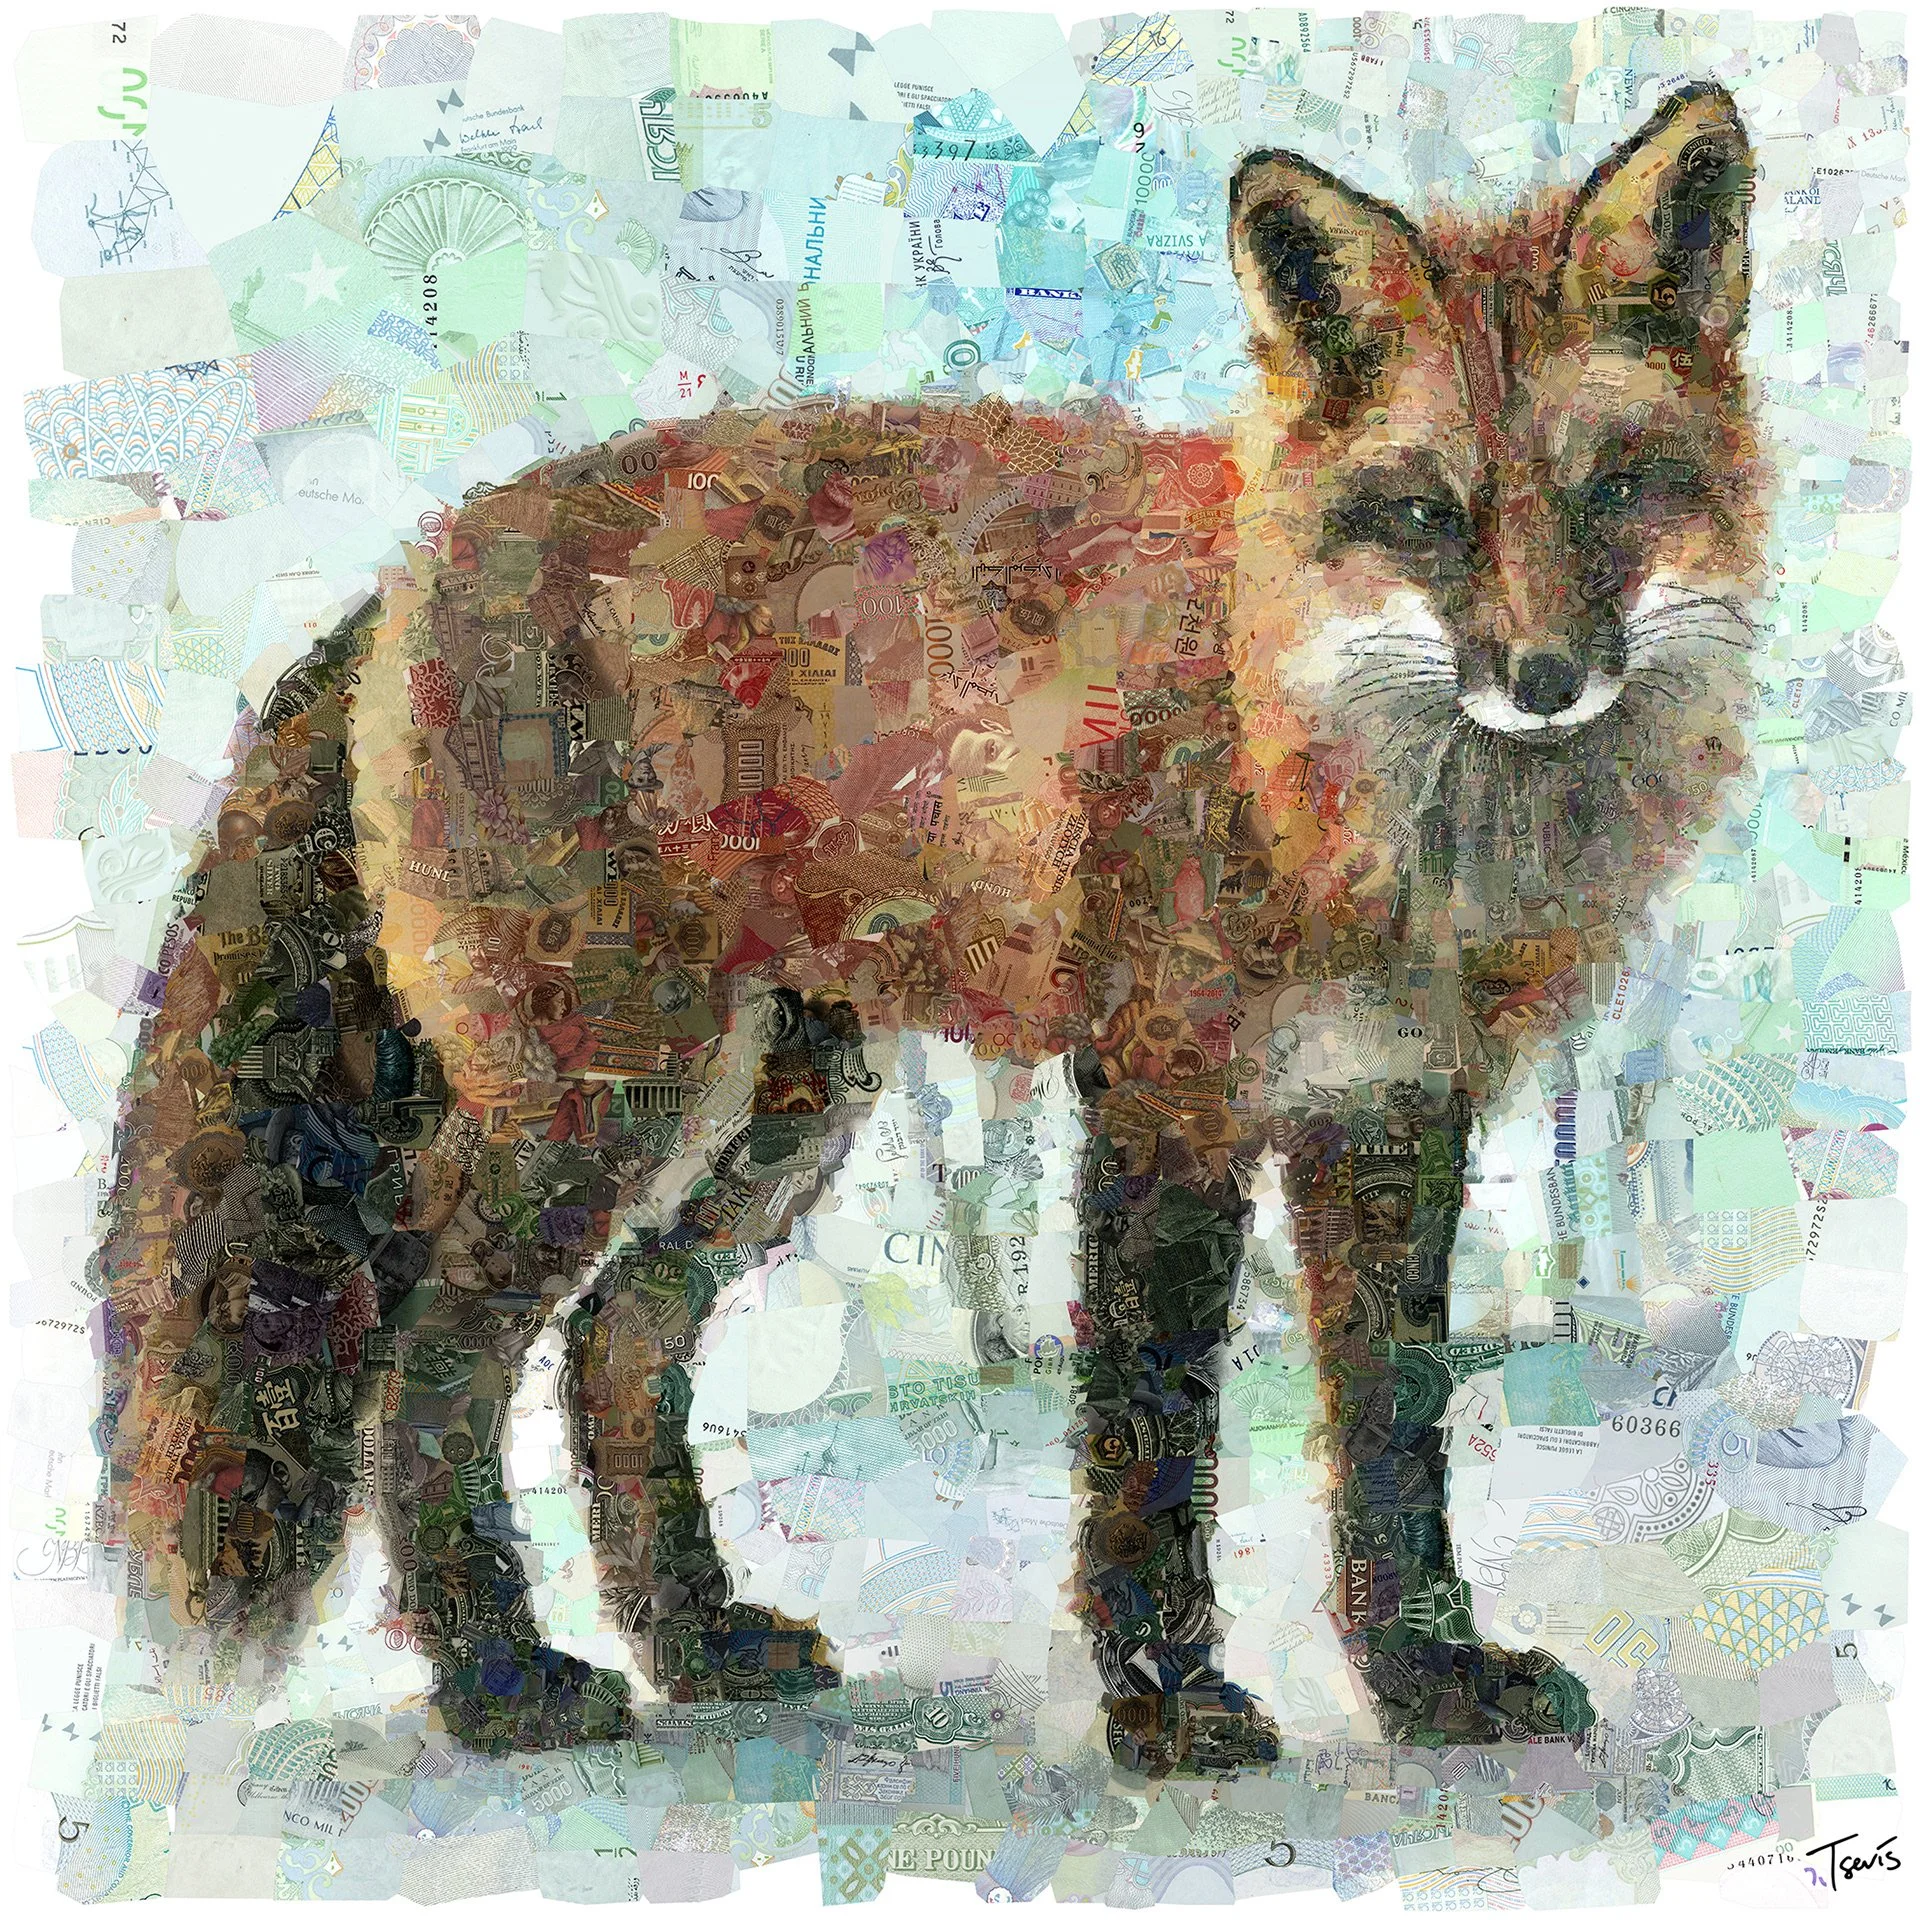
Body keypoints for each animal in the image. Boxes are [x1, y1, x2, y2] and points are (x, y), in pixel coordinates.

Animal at [99, 81, 1761, 1792]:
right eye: (1429, 514)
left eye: (1615, 490)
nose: (1545, 678)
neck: (1357, 801)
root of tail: (410, 563)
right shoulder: (1164, 1097)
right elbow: (1153, 1431)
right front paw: (1168, 1702)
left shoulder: (1390, 1114)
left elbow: (1392, 1436)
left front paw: (1431, 1680)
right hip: (597, 1107)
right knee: (421, 1369)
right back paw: (500, 1683)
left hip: (772, 1115)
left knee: (616, 1346)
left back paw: (698, 1645)